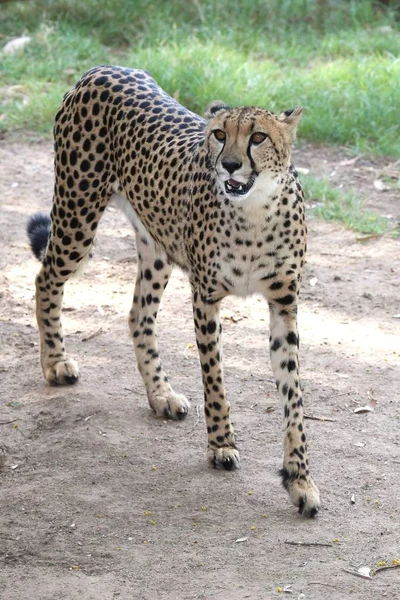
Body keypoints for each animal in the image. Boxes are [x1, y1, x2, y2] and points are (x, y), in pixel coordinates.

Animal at [27, 64, 322, 516]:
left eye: (258, 137)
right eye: (218, 134)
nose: (230, 165)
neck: (254, 213)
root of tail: (103, 68)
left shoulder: (284, 304)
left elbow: (294, 399)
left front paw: (299, 479)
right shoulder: (206, 298)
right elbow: (215, 380)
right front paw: (221, 445)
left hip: (157, 247)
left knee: (138, 314)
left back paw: (160, 394)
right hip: (78, 216)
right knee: (46, 279)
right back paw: (56, 363)